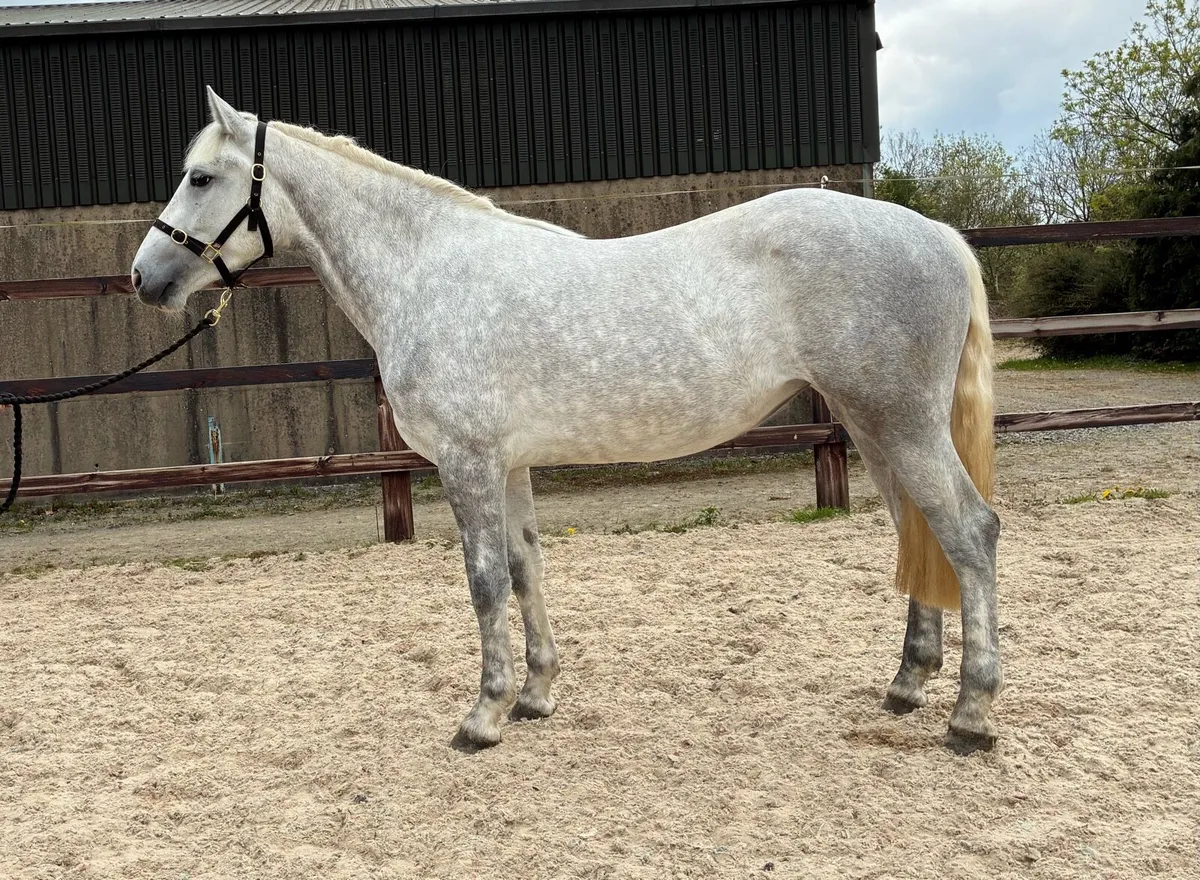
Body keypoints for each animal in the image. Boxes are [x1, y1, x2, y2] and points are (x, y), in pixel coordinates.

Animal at [131, 88, 1002, 754]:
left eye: (201, 177)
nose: (143, 277)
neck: (427, 270)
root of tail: (936, 235)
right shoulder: (509, 463)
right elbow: (525, 569)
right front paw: (535, 696)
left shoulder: (468, 460)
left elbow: (483, 581)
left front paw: (482, 716)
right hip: (873, 426)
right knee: (918, 533)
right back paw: (907, 685)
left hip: (902, 425)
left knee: (968, 532)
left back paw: (971, 715)